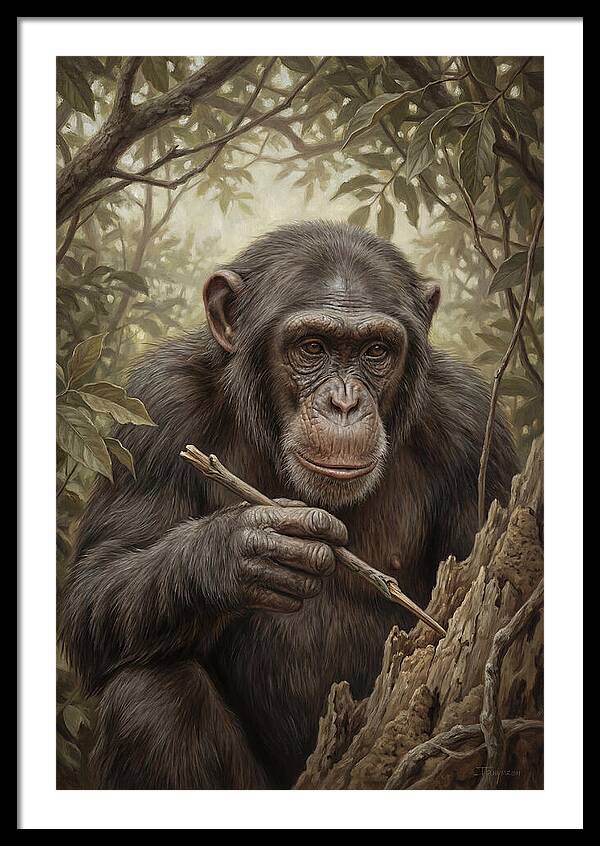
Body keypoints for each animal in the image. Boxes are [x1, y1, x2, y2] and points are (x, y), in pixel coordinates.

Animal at [59, 221, 518, 789]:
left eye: (375, 352)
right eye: (312, 347)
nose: (344, 403)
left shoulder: (475, 430)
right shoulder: (156, 406)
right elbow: (94, 588)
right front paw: (242, 551)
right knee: (149, 695)